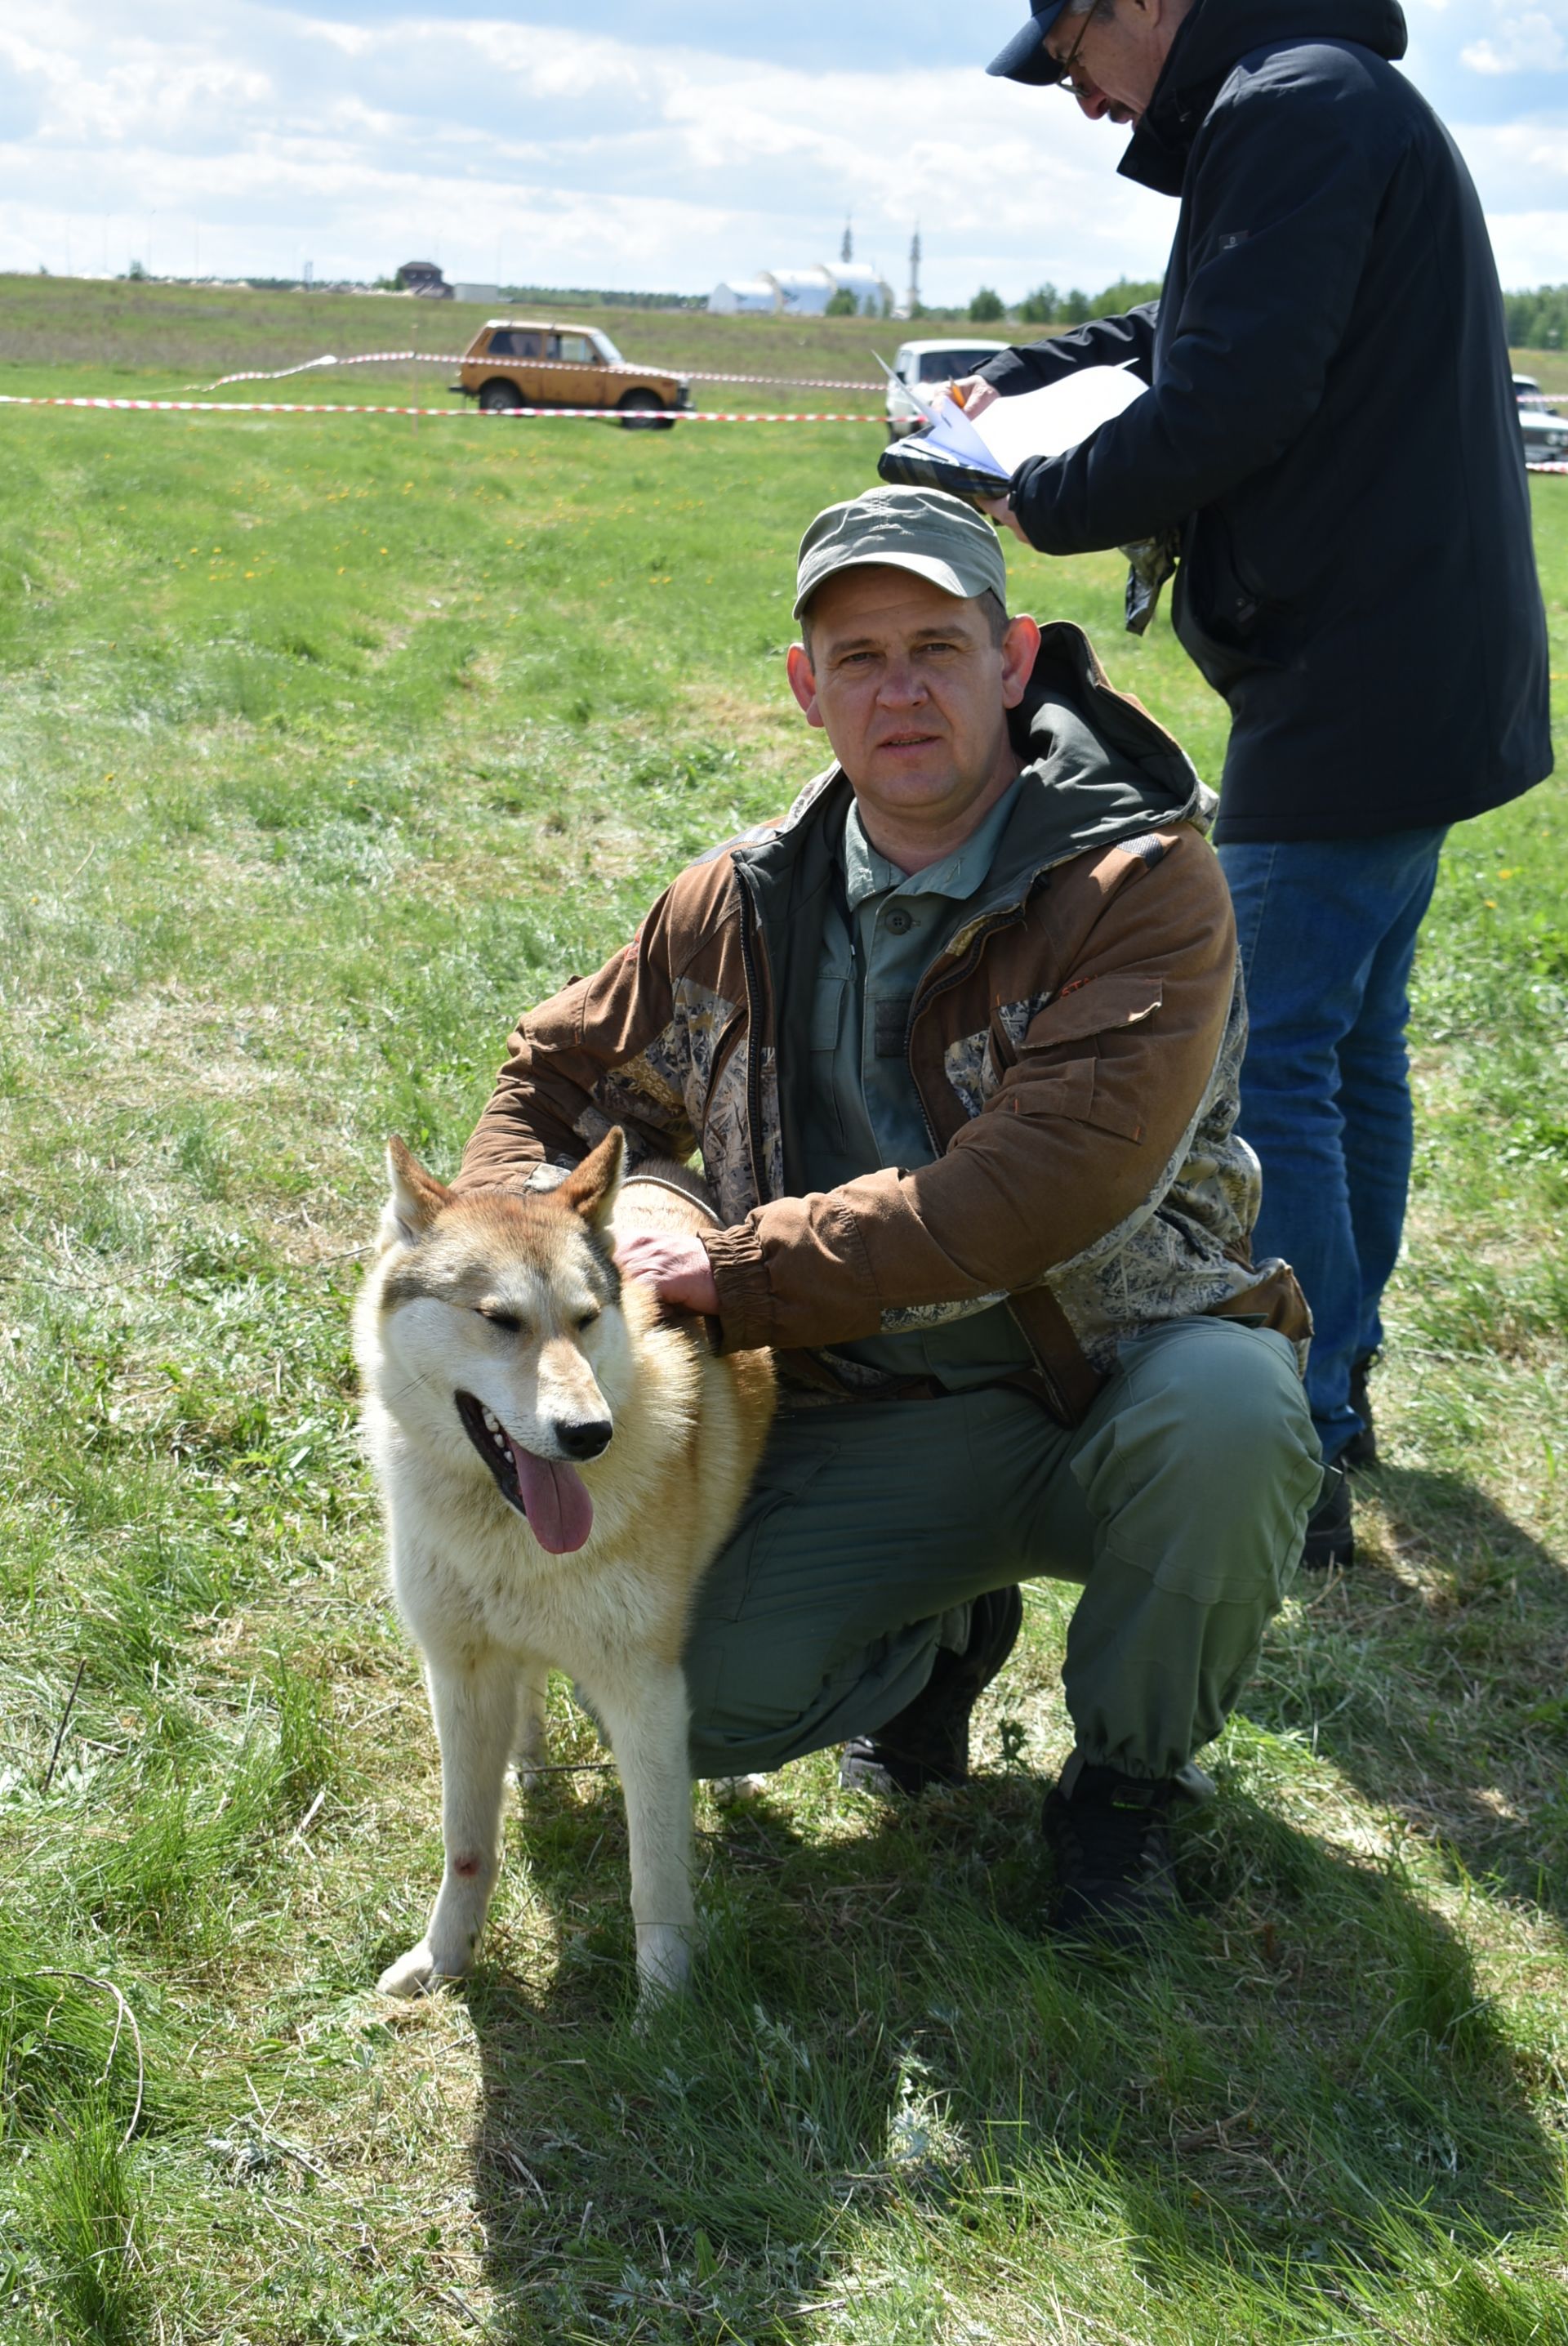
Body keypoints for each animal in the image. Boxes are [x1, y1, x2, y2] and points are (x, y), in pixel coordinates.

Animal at [354, 1131, 768, 1998]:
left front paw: (665, 2007)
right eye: (498, 1319)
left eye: (586, 1319)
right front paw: (443, 1960)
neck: (506, 1533)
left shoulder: (646, 1693)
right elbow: (466, 1844)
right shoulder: (459, 1673)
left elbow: (657, 1875)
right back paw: (530, 1755)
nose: (590, 1435)